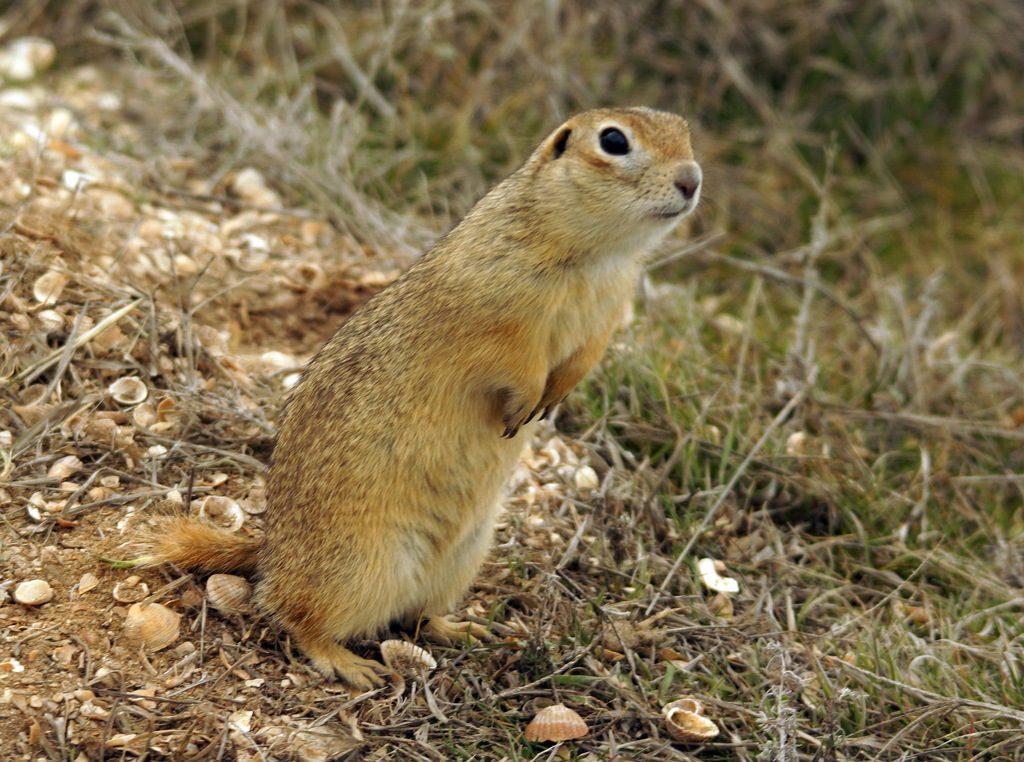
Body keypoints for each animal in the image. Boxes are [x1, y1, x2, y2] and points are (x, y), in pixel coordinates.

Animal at [142, 107, 702, 689]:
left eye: (685, 132)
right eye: (614, 140)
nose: (692, 180)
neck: (597, 255)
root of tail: (271, 550)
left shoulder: (604, 322)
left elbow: (579, 363)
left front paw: (552, 399)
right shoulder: (496, 317)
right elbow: (514, 359)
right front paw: (525, 403)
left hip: (459, 561)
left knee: (415, 616)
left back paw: (463, 630)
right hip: (359, 565)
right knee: (293, 613)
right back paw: (350, 664)